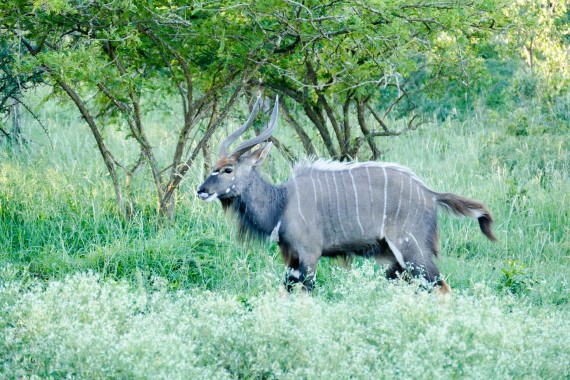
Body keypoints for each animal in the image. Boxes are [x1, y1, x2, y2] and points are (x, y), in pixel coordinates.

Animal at [197, 95, 494, 294]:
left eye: (228, 169)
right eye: (213, 167)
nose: (201, 190)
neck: (281, 203)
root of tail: (431, 195)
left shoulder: (309, 256)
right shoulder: (292, 260)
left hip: (412, 251)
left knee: (441, 286)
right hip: (393, 261)